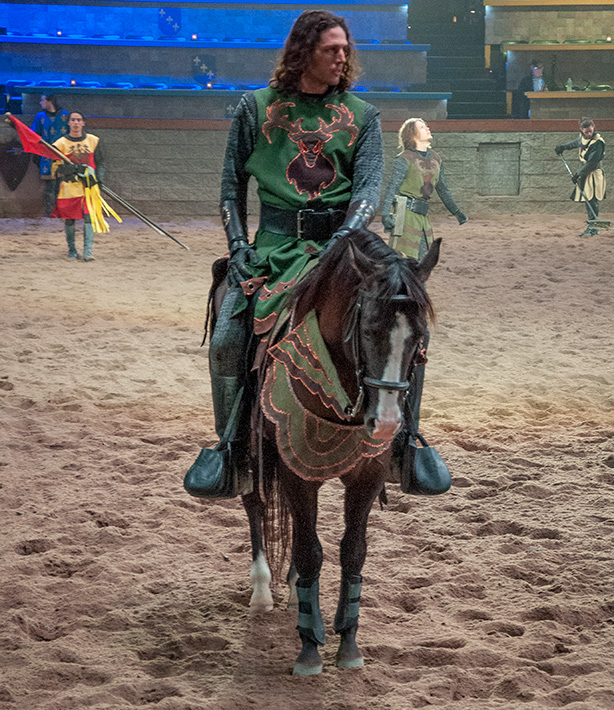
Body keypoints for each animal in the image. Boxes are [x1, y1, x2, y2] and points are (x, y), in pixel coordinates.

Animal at [242, 228, 442, 680]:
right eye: (368, 329)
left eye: (419, 336)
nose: (386, 423)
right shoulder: (296, 471)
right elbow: (310, 551)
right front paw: (309, 648)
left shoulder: (368, 474)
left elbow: (353, 551)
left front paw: (347, 642)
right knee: (255, 503)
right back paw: (262, 590)